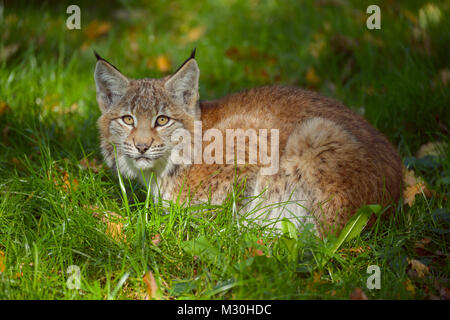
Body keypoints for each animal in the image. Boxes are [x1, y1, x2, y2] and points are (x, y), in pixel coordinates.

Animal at [94, 50, 400, 235]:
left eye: (162, 120)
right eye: (128, 119)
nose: (142, 147)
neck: (165, 168)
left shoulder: (251, 141)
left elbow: (230, 204)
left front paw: (215, 228)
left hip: (316, 131)